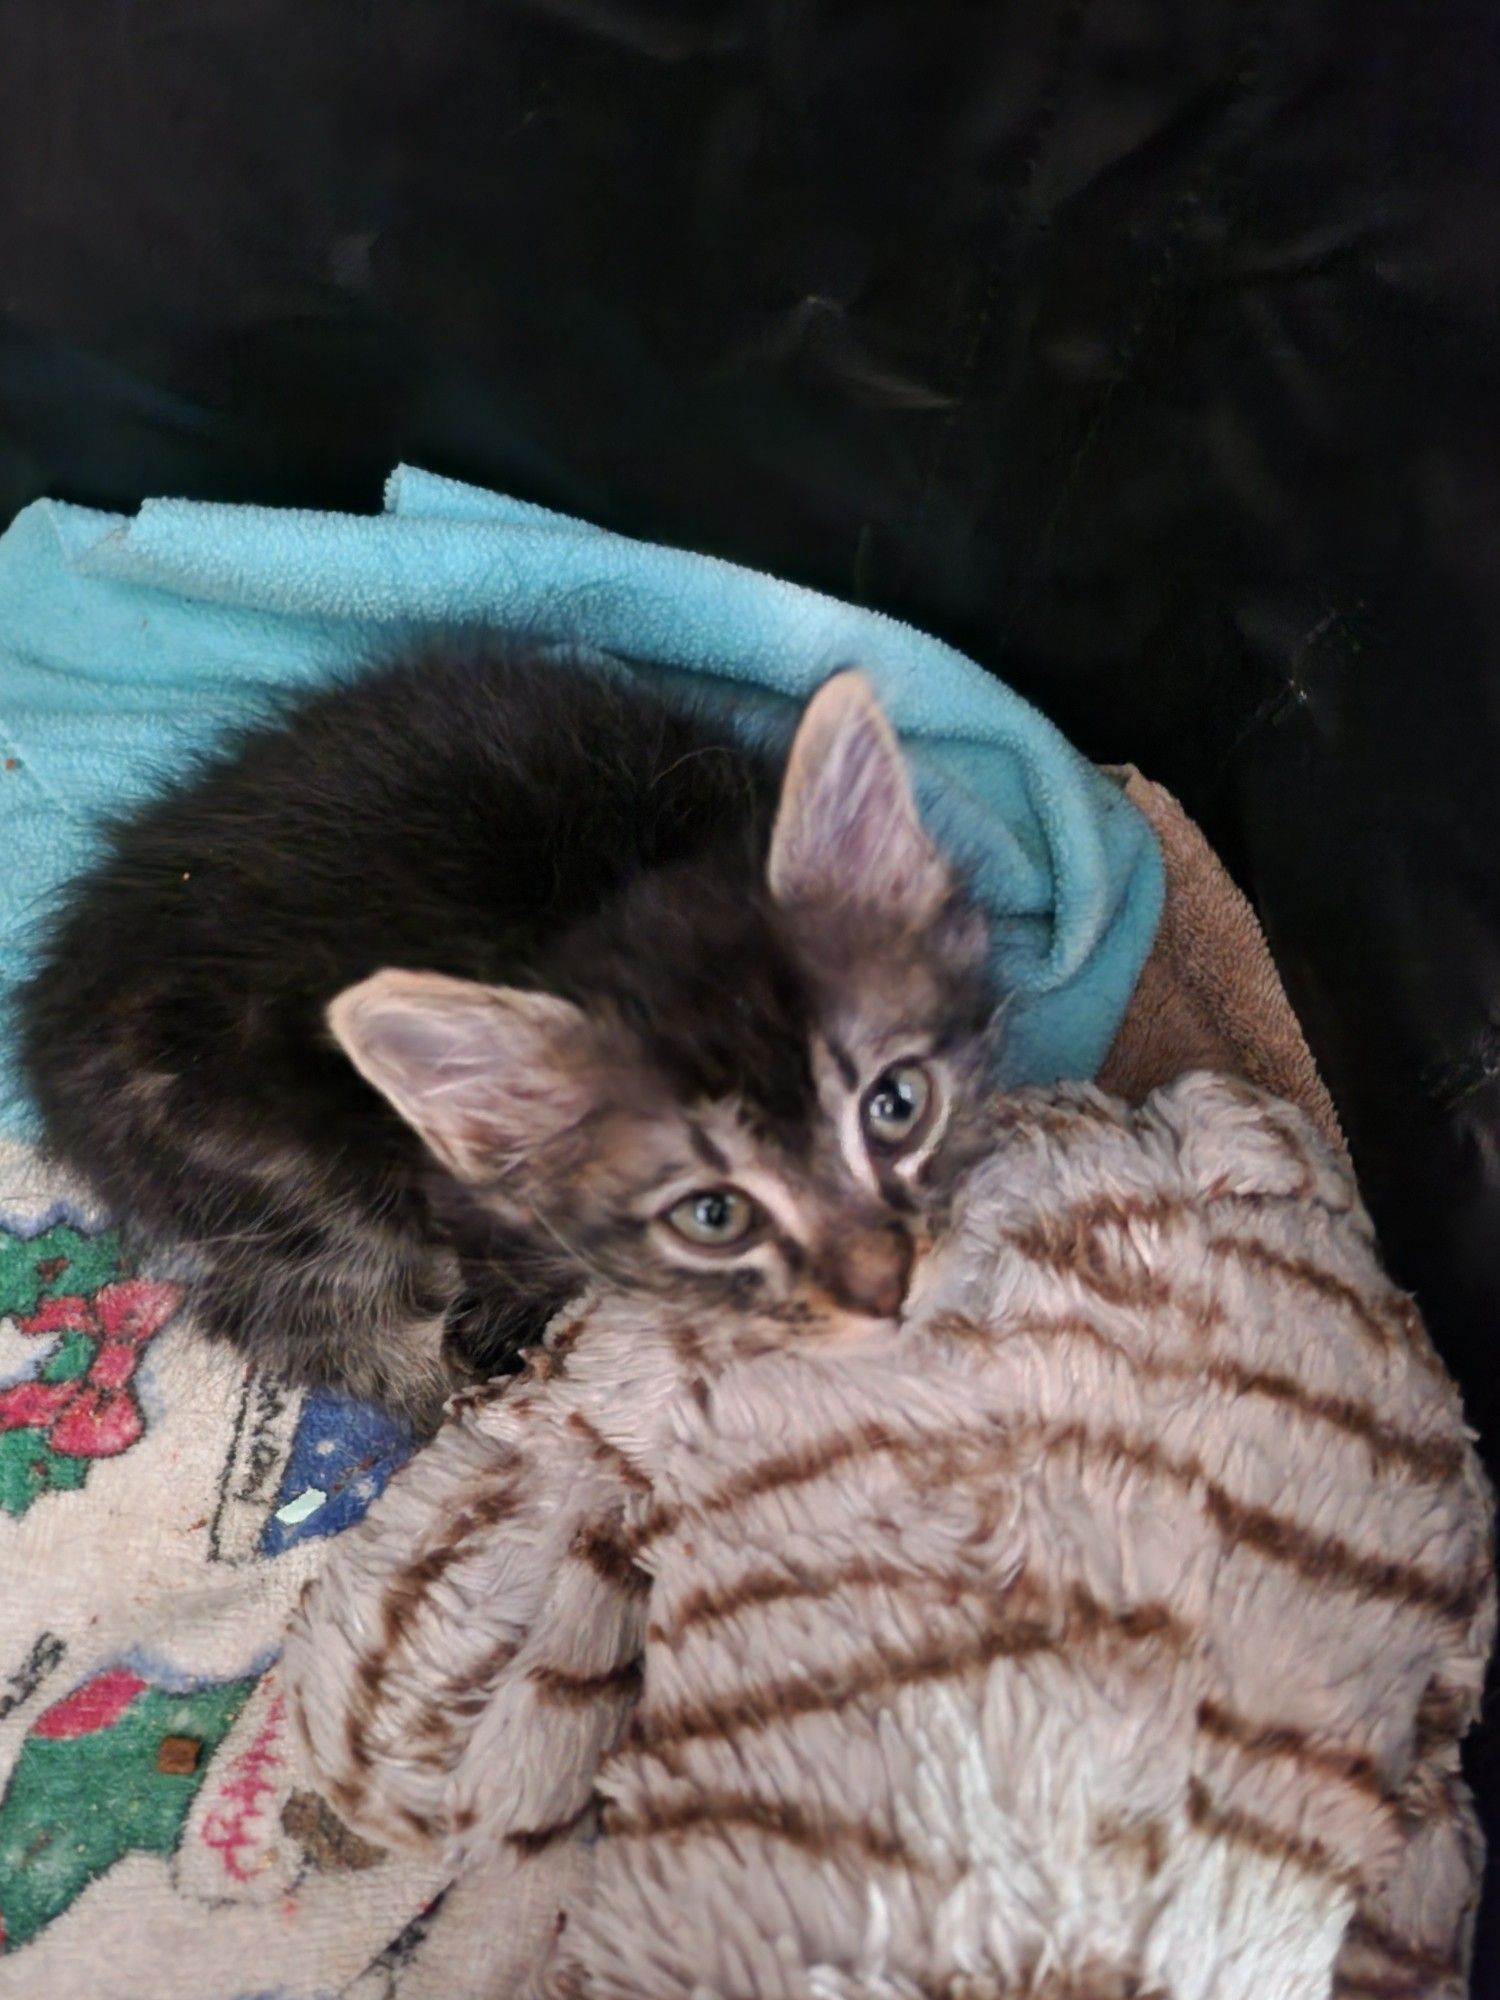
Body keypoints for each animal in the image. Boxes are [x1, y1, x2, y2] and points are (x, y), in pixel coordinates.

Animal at [17, 648, 1004, 1432]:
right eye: (713, 1216)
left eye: (897, 1106)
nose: (890, 1290)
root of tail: (54, 1022)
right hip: (291, 1171)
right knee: (286, 1316)